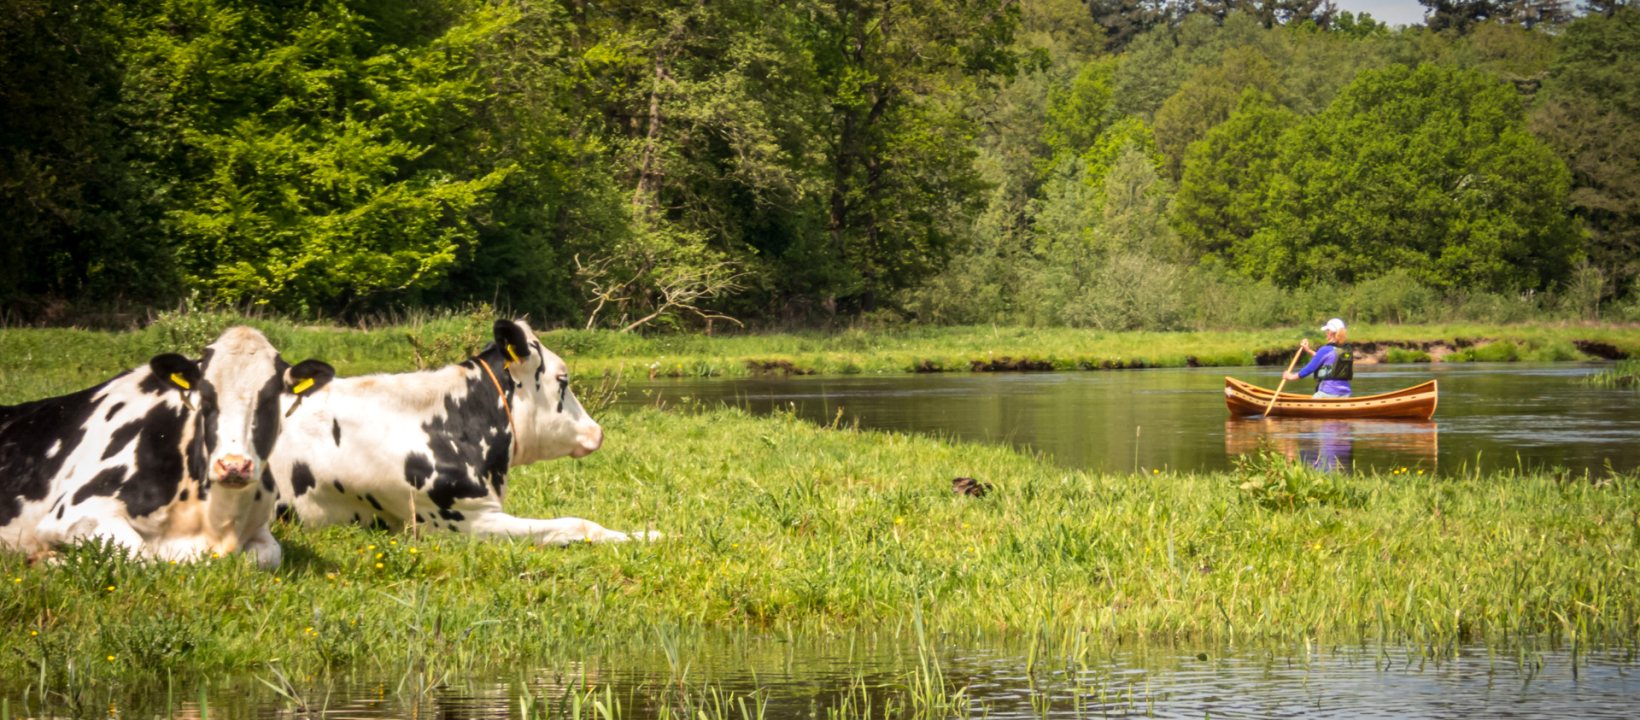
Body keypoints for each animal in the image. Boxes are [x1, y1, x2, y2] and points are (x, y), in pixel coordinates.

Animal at [0, 326, 332, 570]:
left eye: (269, 398)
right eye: (206, 397)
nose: (234, 466)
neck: (217, 520)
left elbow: (269, 554)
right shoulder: (71, 512)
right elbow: (138, 553)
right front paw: (50, 559)